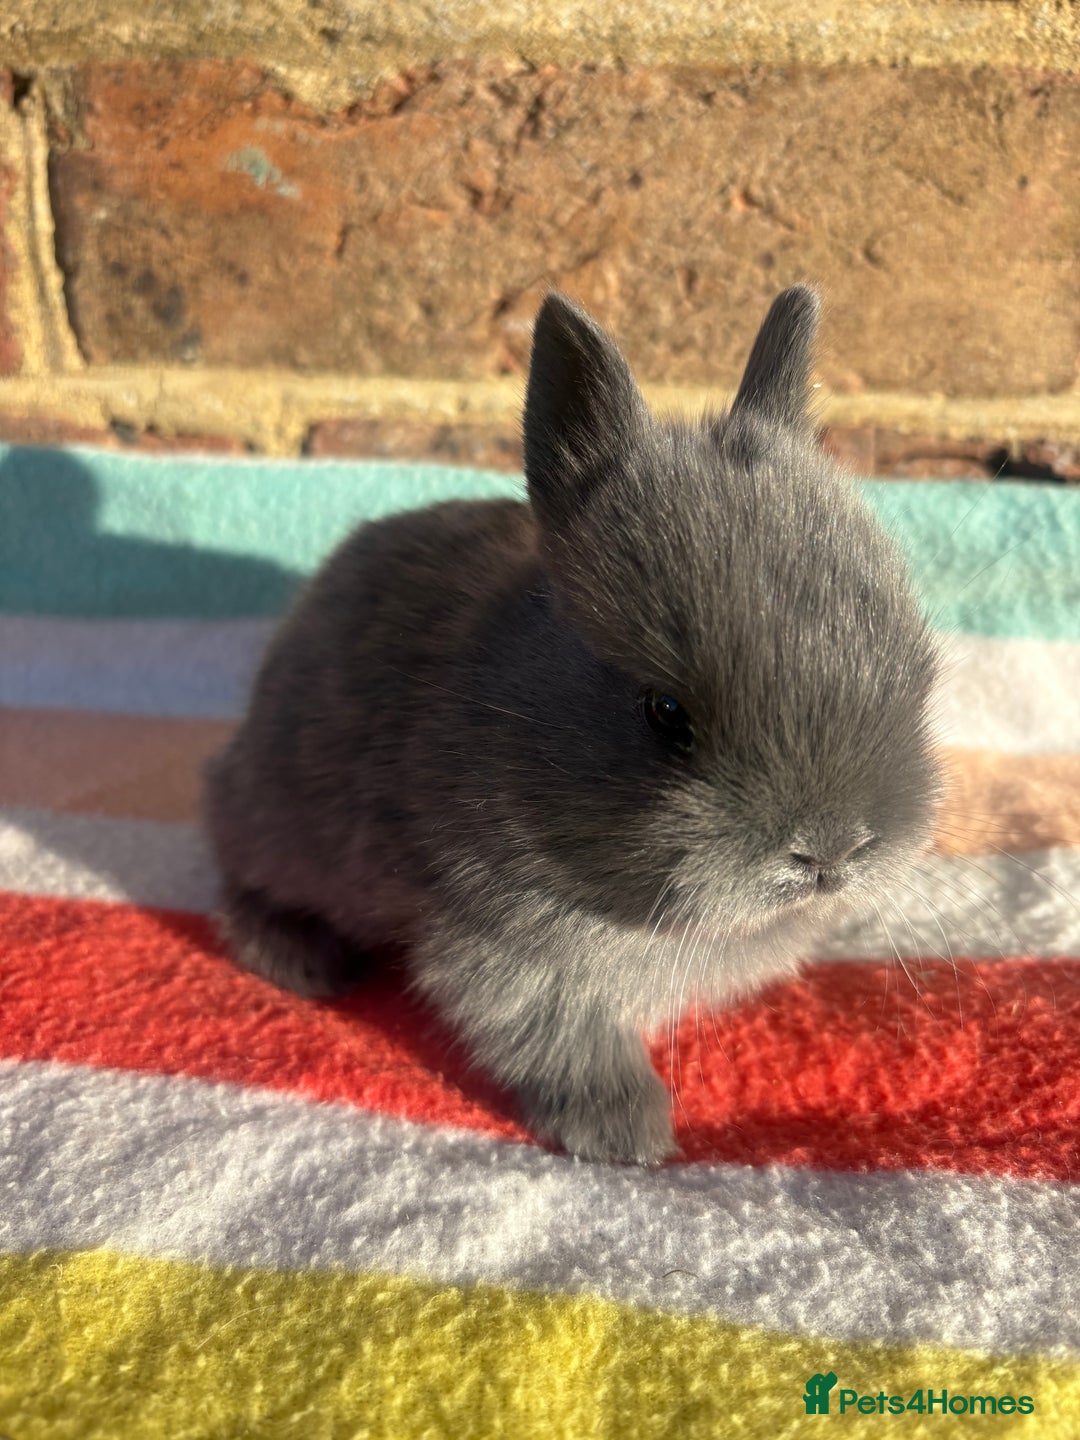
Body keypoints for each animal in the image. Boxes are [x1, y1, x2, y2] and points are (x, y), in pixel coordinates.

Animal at [203, 285, 942, 1166]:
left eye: (917, 665)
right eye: (666, 713)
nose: (829, 852)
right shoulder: (499, 952)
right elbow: (560, 1042)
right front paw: (629, 1133)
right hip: (275, 821)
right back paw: (301, 961)